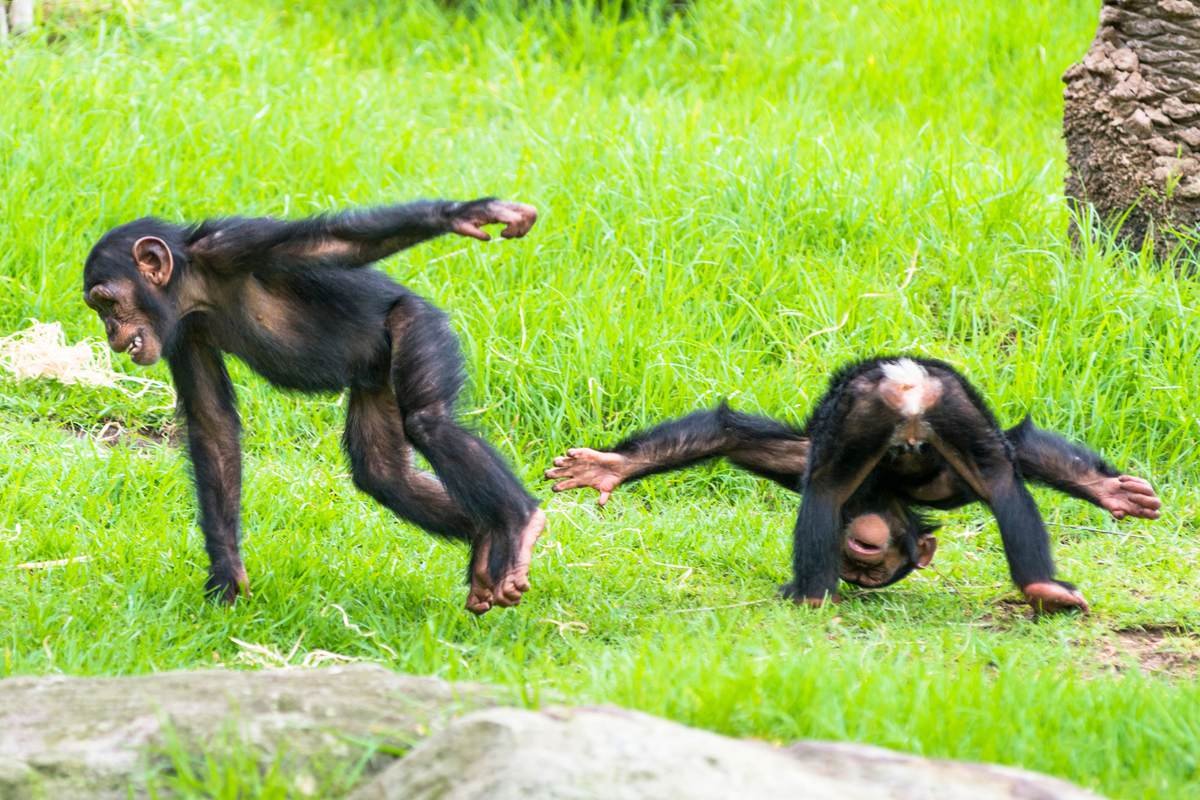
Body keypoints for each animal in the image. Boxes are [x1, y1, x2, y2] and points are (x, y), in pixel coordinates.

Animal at [84, 198, 545, 614]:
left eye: (107, 302)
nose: (109, 330)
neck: (196, 285)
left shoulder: (235, 247)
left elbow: (335, 244)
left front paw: (465, 214)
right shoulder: (184, 335)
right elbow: (212, 425)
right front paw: (227, 575)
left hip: (416, 324)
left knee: (428, 421)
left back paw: (519, 522)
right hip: (376, 381)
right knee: (383, 474)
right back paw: (486, 542)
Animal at [547, 357, 1160, 613]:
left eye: (869, 571)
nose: (856, 569)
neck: (888, 496)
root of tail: (907, 382)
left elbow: (731, 436)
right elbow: (730, 436)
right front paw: (607, 467)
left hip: (904, 409)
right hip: (897, 406)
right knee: (996, 479)